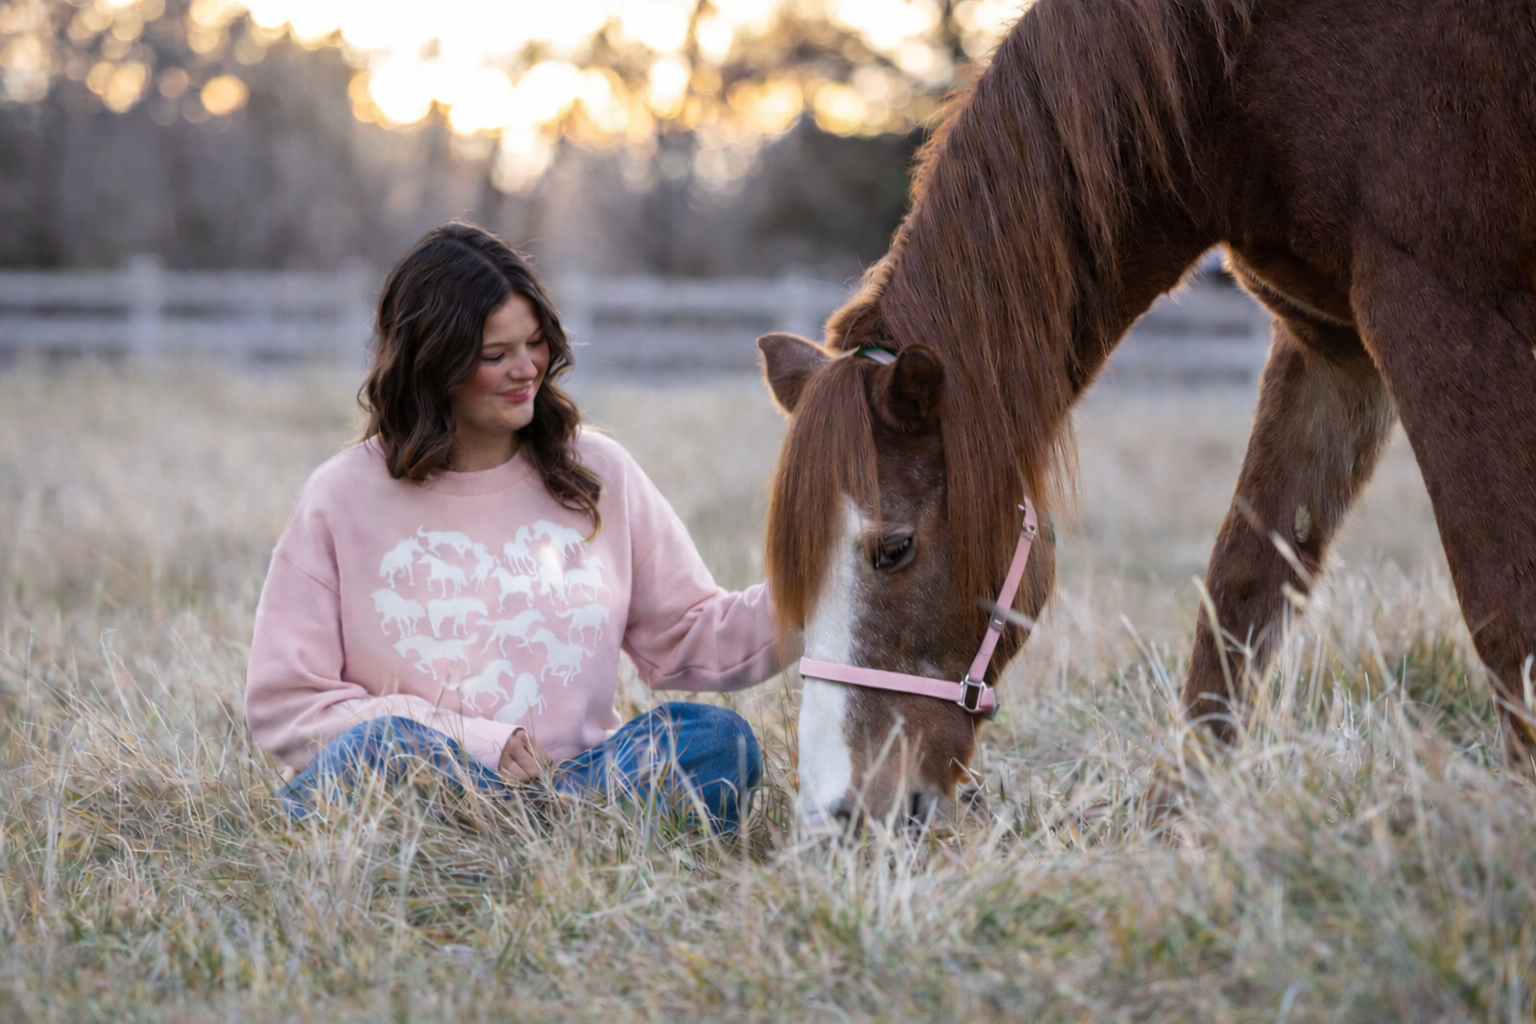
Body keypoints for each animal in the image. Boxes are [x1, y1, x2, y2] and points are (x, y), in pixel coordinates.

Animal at [758, 0, 1536, 830]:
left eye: (894, 549)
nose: (839, 813)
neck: (1237, 74)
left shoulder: (1438, 304)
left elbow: (1501, 603)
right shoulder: (1331, 348)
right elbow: (1242, 588)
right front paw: (1179, 813)